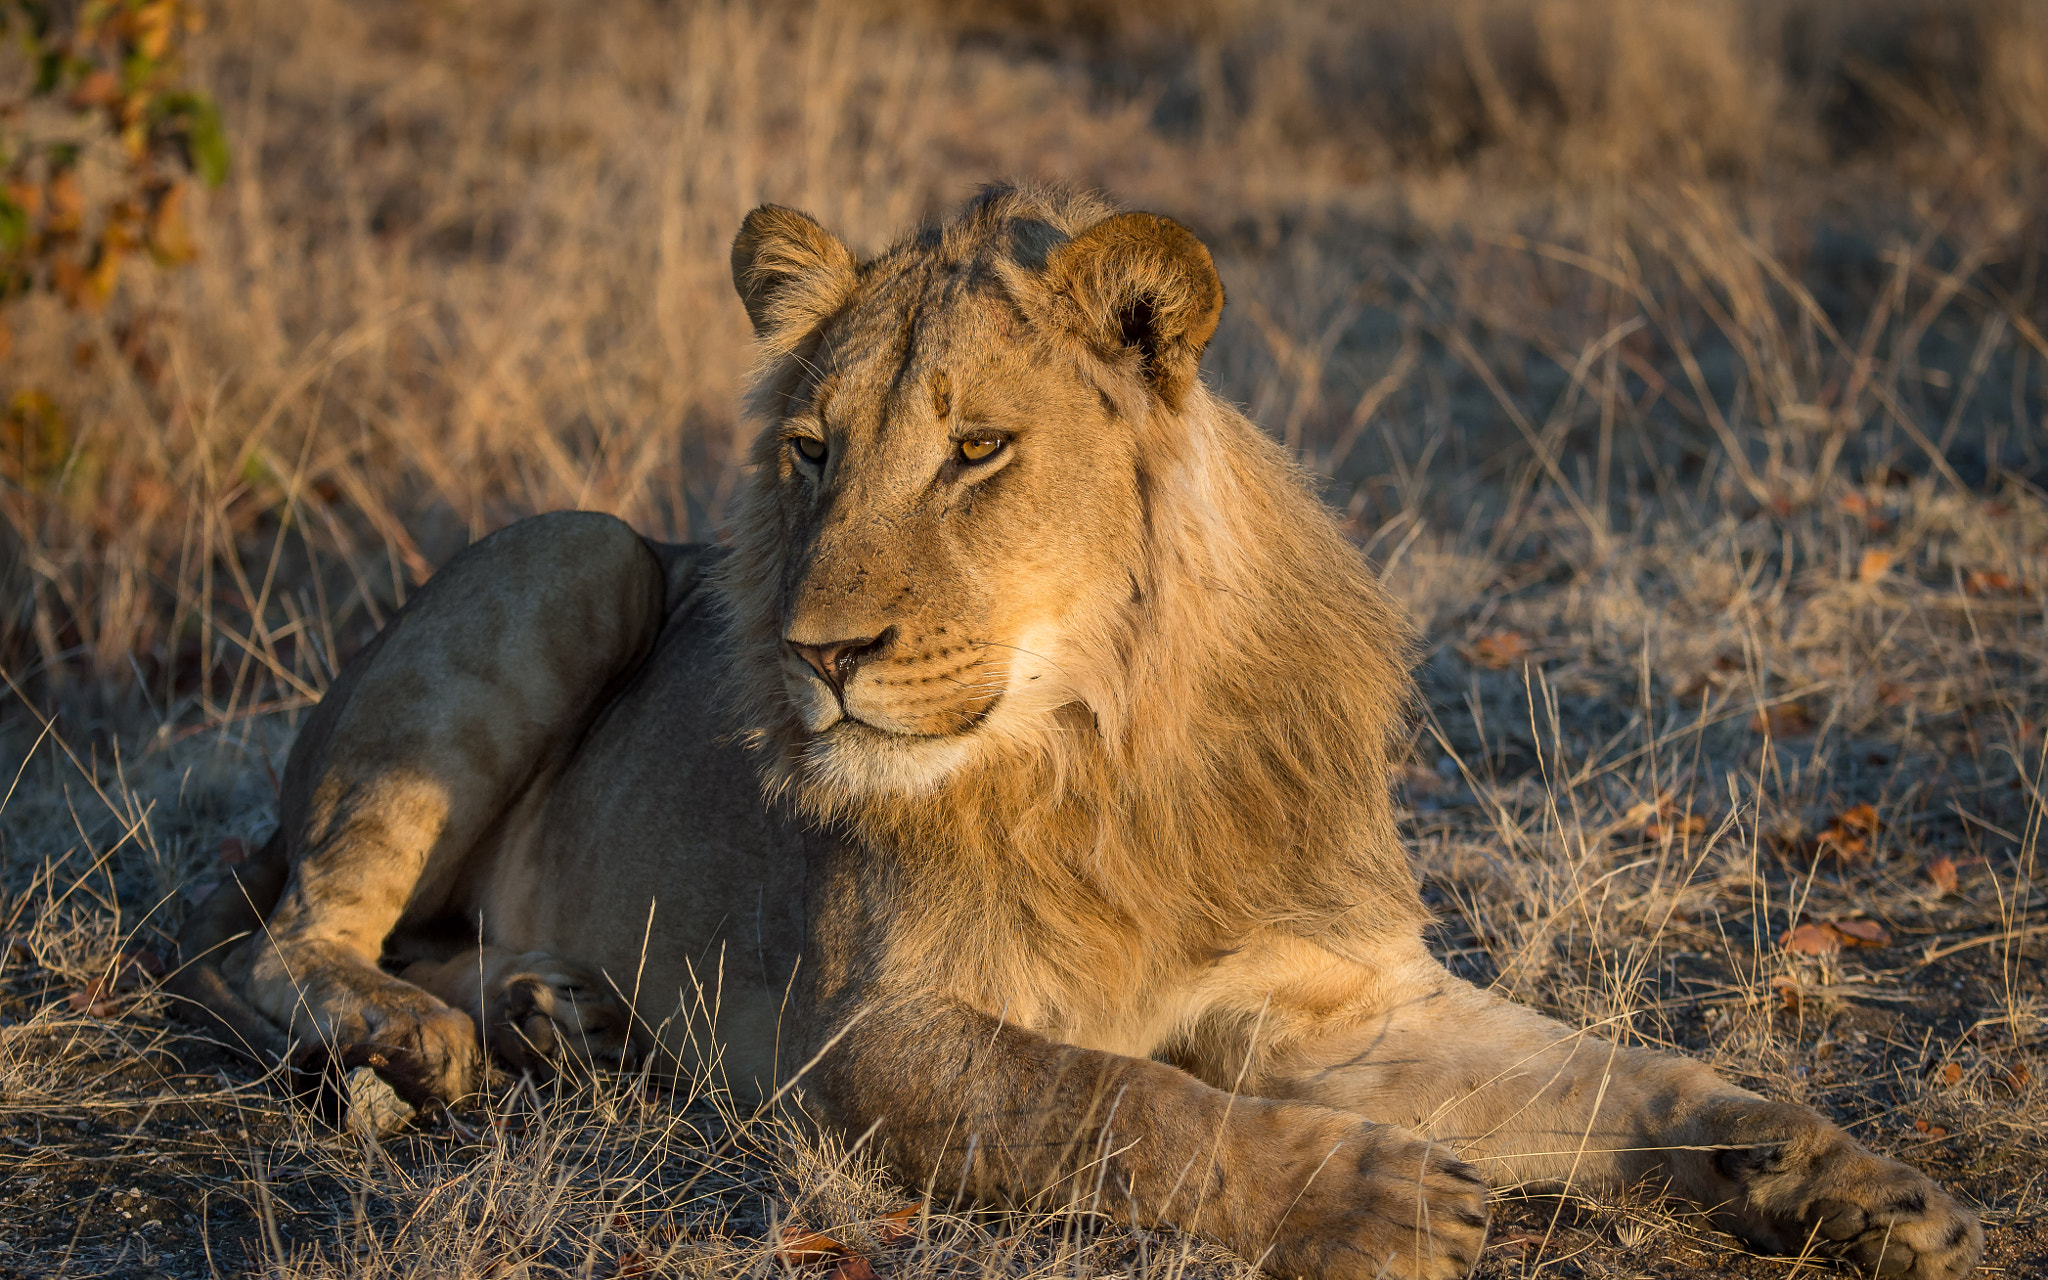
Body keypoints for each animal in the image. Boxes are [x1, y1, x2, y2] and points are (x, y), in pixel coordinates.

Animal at [174, 183, 1982, 1280]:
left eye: (976, 450)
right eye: (811, 450)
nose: (814, 652)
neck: (1110, 749)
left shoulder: (1338, 1000)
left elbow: (1624, 1078)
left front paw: (1852, 1184)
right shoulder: (862, 1028)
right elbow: (1109, 1103)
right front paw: (1373, 1196)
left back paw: (568, 1017)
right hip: (582, 549)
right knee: (277, 944)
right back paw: (422, 1038)